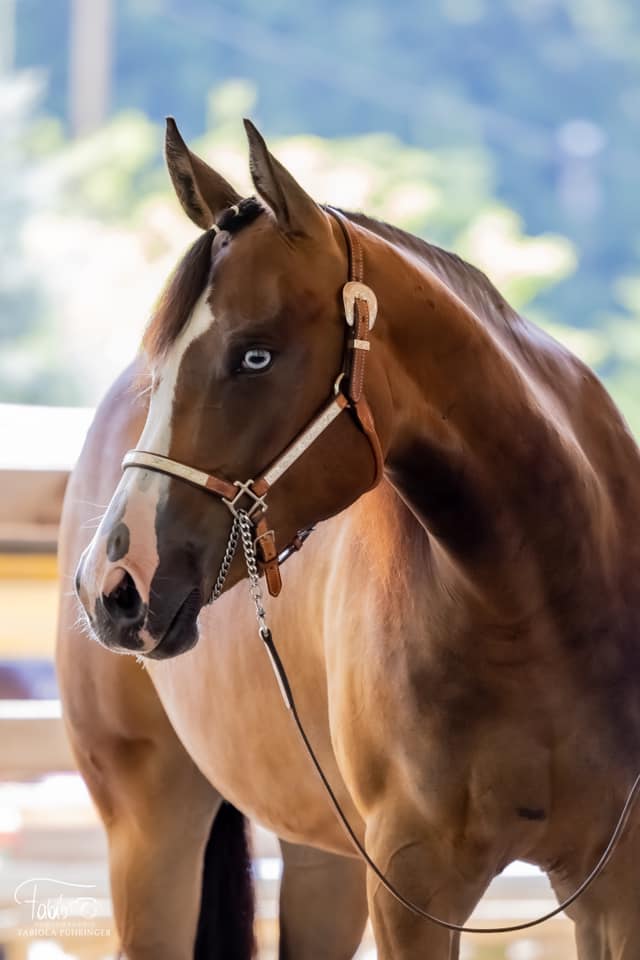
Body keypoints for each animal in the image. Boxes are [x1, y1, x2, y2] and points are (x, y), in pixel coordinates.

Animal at [58, 117, 640, 959]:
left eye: (255, 354)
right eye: (159, 364)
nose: (114, 583)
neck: (532, 609)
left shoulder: (613, 887)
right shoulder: (412, 887)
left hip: (322, 854)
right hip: (150, 831)